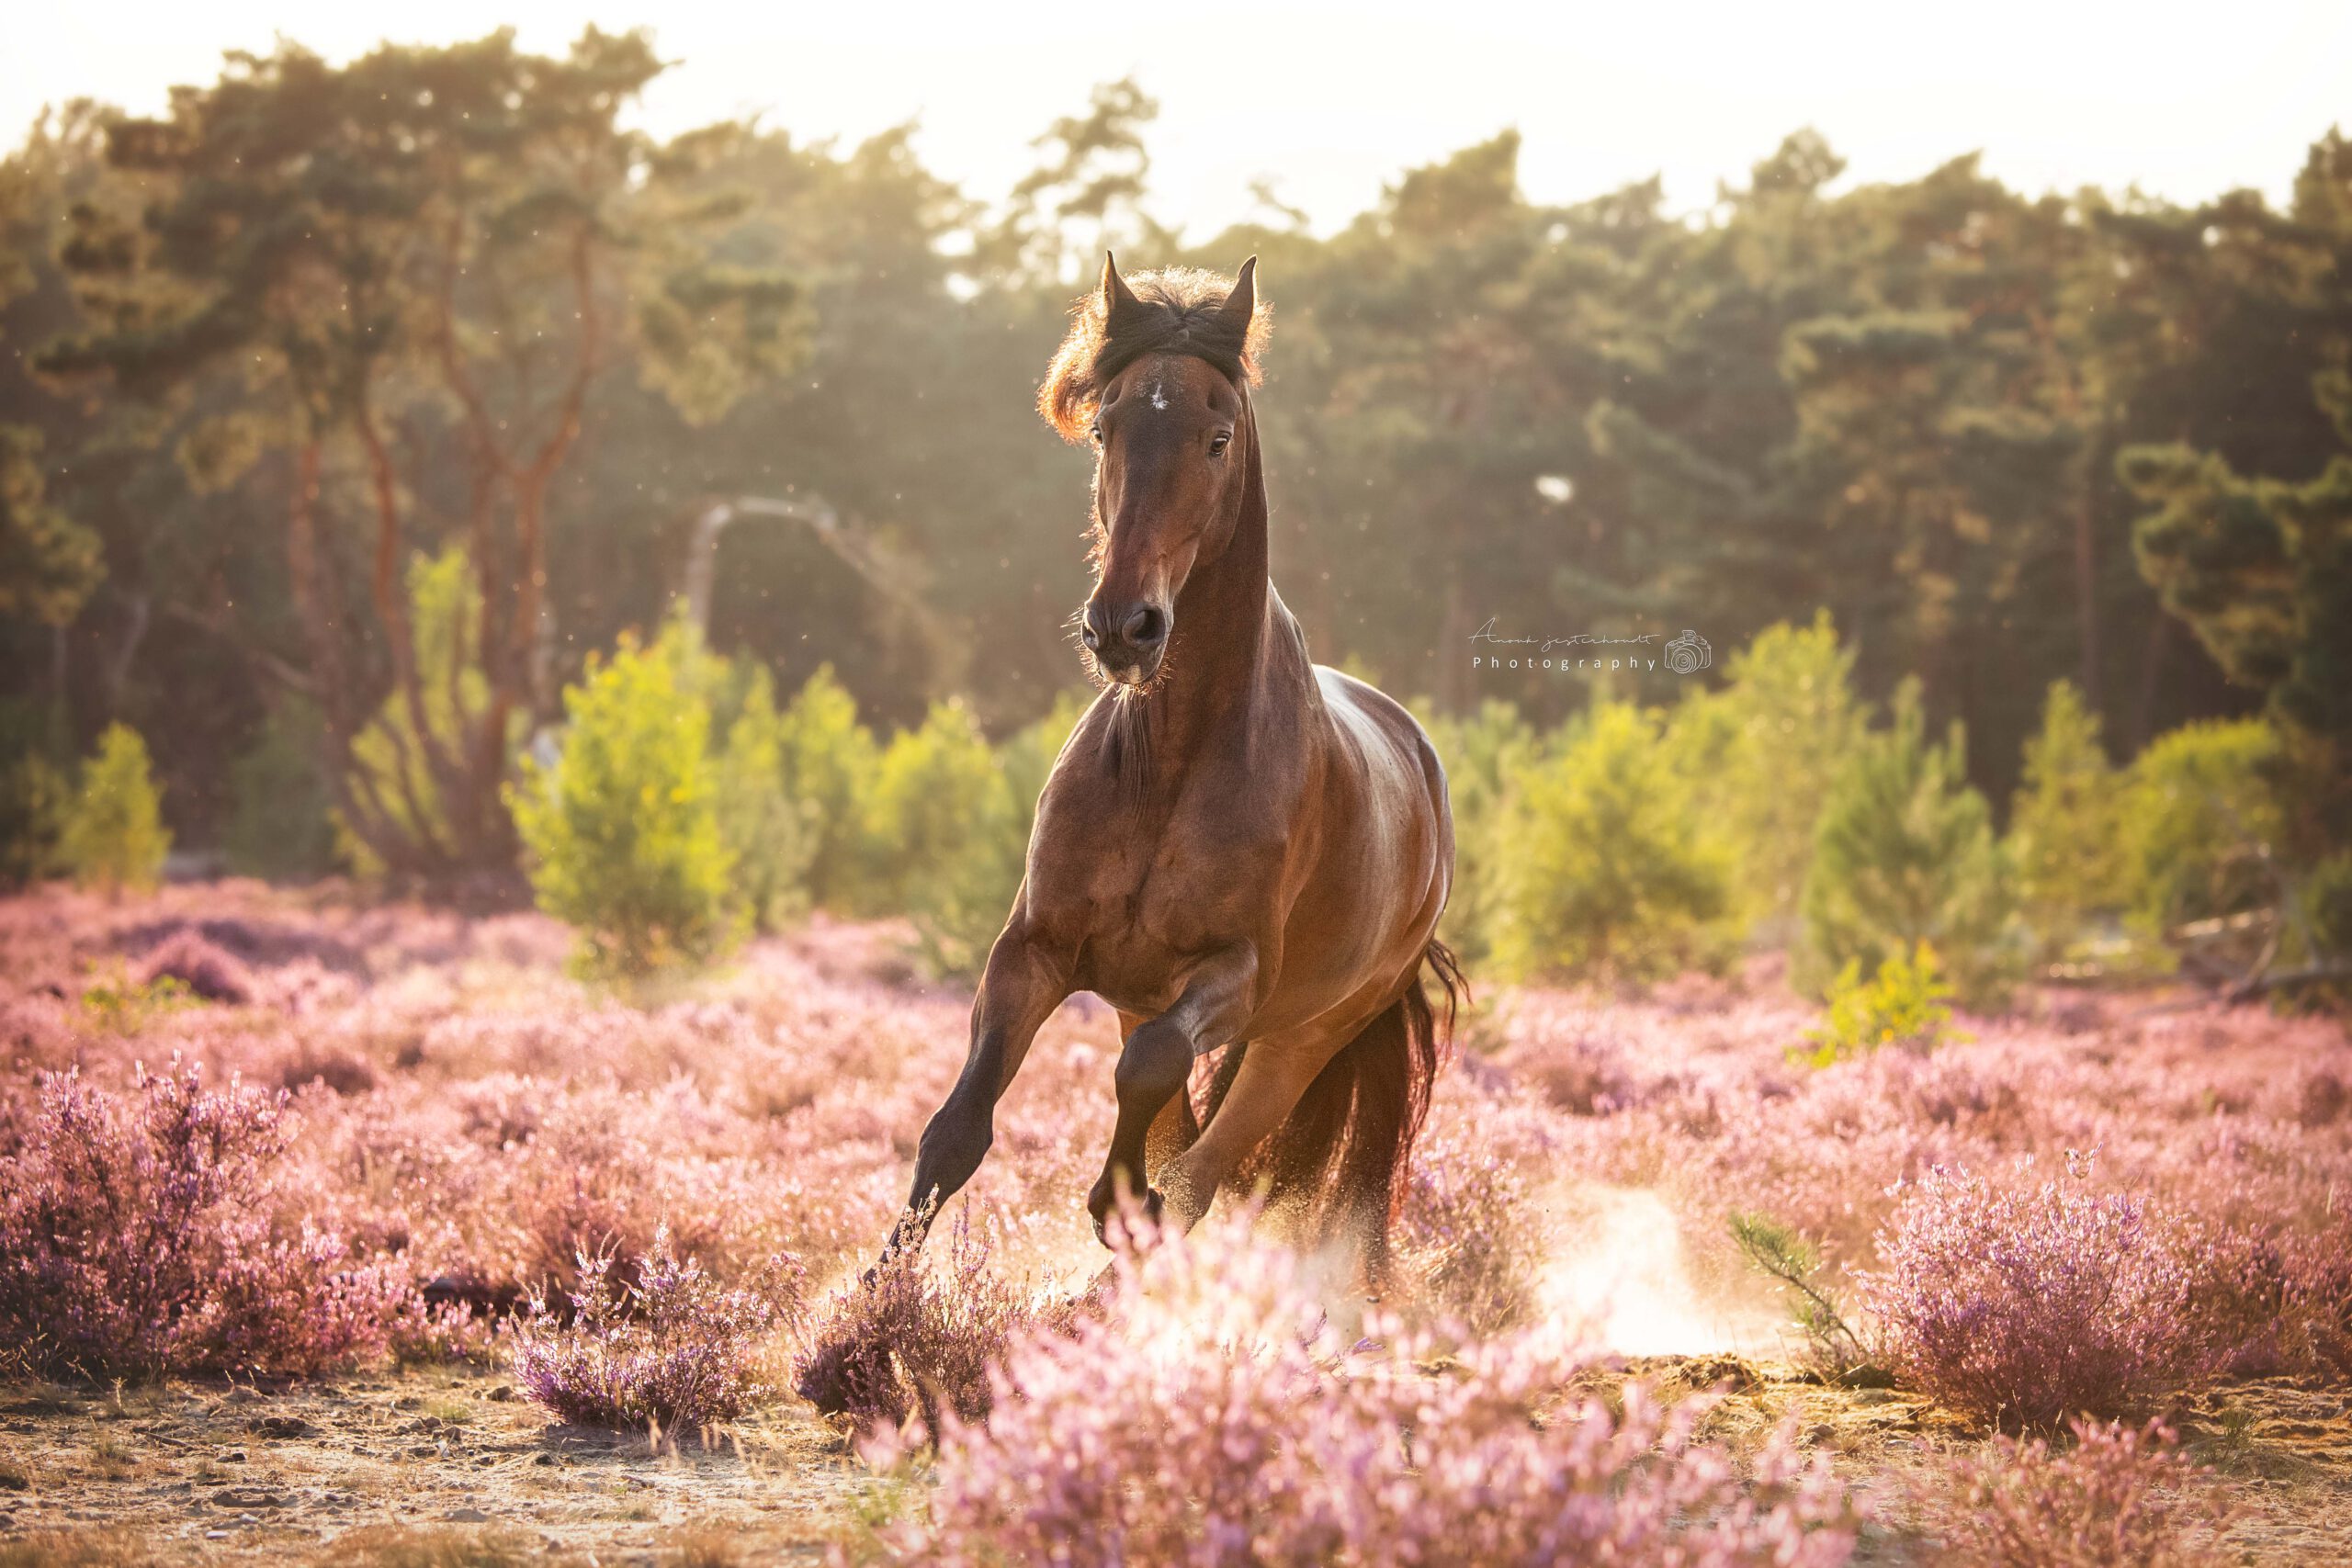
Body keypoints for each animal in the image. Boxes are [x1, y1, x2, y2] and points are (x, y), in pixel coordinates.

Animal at [880, 254, 1461, 1282]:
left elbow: (1151, 1074)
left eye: (1217, 437)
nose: (1124, 626)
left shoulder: (1234, 976)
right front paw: (860, 1305)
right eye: (1105, 428)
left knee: (1202, 1169)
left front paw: (1113, 1203)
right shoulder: (1032, 948)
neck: (1170, 763)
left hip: (1297, 1042)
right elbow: (957, 1130)